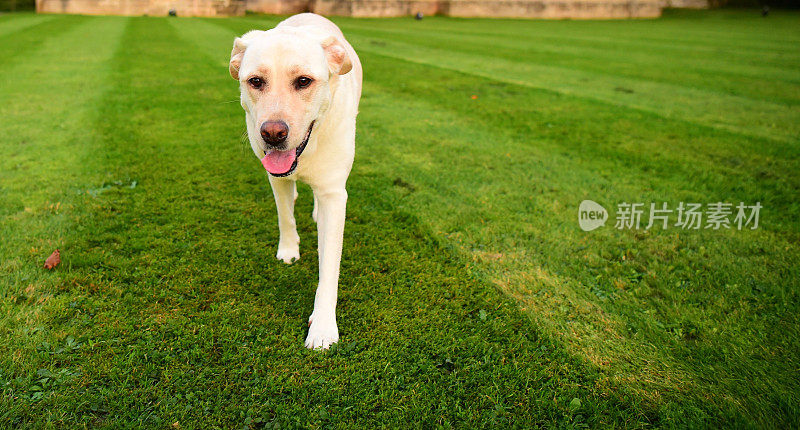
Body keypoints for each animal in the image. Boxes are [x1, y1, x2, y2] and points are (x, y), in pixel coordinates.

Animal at [230, 13, 364, 350]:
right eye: (256, 81)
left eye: (303, 81)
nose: (272, 134)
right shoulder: (275, 177)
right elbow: (285, 215)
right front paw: (289, 250)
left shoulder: (334, 194)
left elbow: (329, 266)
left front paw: (324, 327)